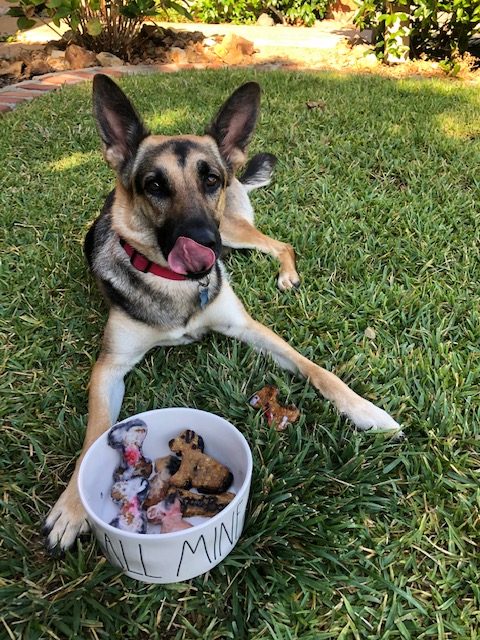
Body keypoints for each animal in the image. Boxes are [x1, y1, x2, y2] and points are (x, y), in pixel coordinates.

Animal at [44, 74, 402, 552]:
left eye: (209, 179)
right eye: (154, 186)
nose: (203, 245)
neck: (177, 285)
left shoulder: (250, 327)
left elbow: (317, 370)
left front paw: (366, 411)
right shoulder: (109, 367)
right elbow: (94, 431)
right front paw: (71, 507)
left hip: (232, 230)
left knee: (280, 243)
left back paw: (287, 275)